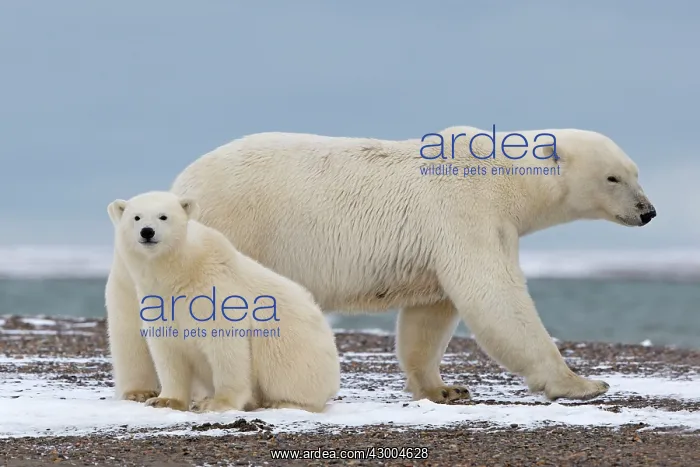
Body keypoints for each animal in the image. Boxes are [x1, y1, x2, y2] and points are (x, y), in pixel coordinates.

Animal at [106, 191, 340, 413]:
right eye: (136, 217)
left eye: (163, 216)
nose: (147, 232)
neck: (182, 272)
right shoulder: (157, 301)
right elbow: (168, 350)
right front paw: (164, 400)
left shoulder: (216, 290)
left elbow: (225, 344)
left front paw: (216, 403)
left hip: (295, 343)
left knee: (287, 370)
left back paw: (282, 402)